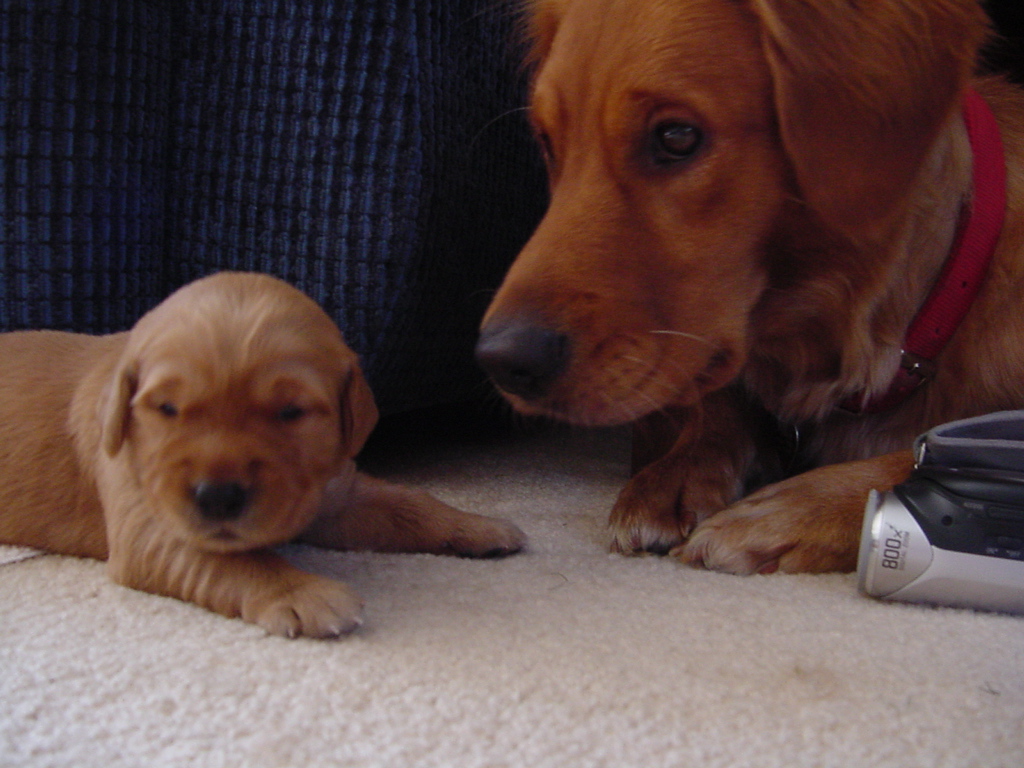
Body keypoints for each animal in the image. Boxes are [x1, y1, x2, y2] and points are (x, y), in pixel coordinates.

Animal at [0, 270, 524, 638]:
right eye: (167, 409)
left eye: (290, 412)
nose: (217, 497)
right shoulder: (150, 526)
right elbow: (235, 560)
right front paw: (300, 591)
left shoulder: (335, 493)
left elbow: (406, 502)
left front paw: (476, 525)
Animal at [475, 0, 1024, 577]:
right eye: (547, 142)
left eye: (676, 136)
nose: (501, 360)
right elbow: (718, 402)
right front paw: (676, 472)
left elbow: (920, 458)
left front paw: (797, 509)